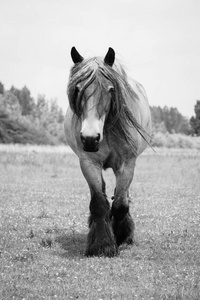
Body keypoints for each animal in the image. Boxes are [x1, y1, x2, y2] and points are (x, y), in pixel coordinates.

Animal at [64, 47, 152, 258]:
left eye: (111, 90)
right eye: (77, 89)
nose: (90, 138)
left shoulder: (127, 164)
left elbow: (120, 204)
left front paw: (120, 236)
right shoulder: (89, 163)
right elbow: (98, 203)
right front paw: (102, 245)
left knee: (124, 195)